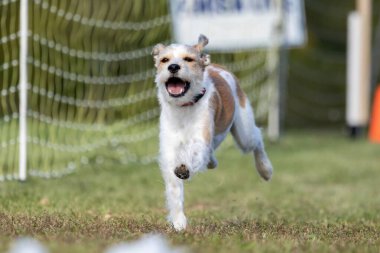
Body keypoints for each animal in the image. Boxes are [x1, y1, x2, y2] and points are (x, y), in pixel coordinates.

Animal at [153, 34, 274, 230]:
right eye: (165, 60)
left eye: (188, 59)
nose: (173, 67)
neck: (184, 108)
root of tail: (218, 66)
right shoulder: (169, 149)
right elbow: (174, 186)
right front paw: (179, 221)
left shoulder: (201, 138)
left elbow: (195, 152)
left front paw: (185, 167)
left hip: (244, 131)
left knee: (256, 139)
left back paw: (265, 168)